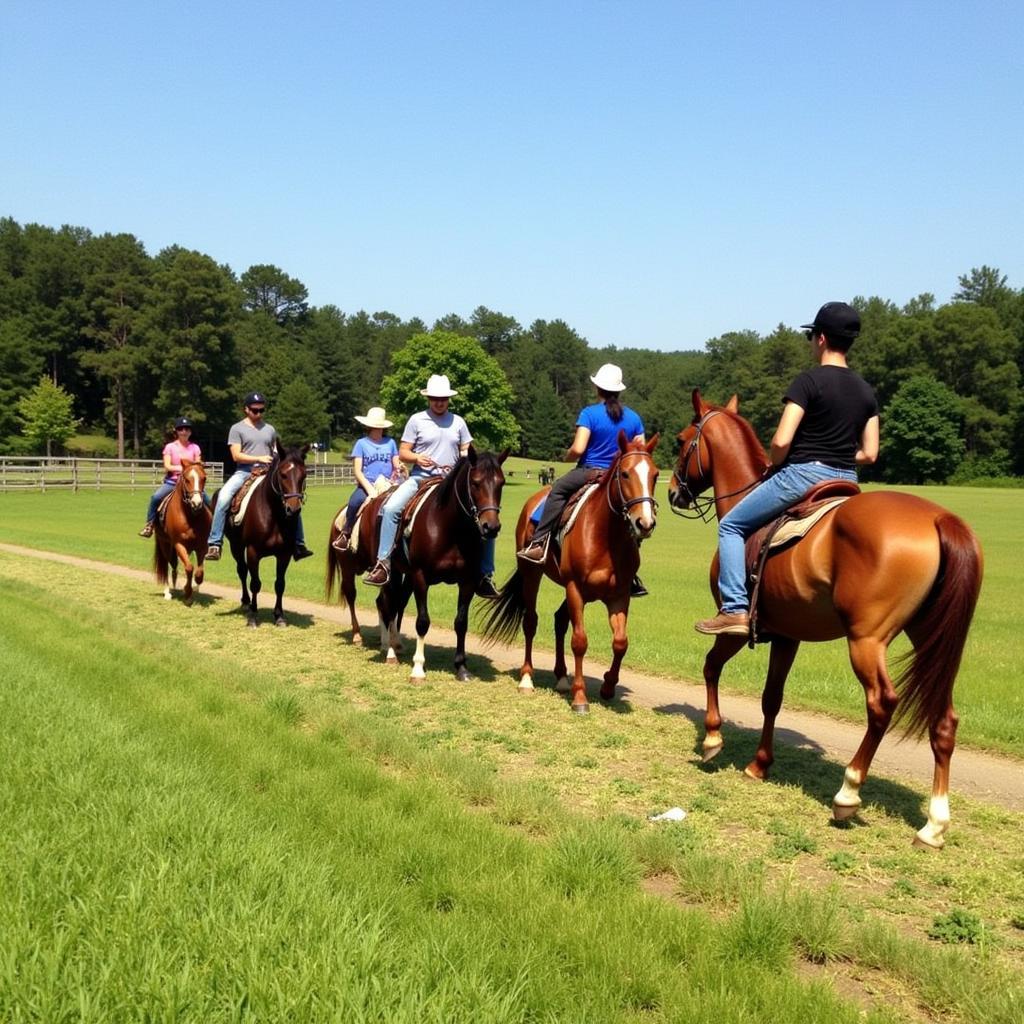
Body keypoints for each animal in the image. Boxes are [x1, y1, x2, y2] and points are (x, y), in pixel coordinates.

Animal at [152, 458, 210, 606]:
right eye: (187, 479)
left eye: (204, 478)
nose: (197, 503)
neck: (190, 516)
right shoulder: (179, 544)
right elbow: (189, 568)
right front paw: (187, 593)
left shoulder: (202, 546)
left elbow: (199, 572)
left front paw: (194, 588)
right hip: (165, 544)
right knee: (167, 565)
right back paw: (167, 592)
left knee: (174, 566)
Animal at [218, 438, 309, 626]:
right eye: (283, 474)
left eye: (304, 475)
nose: (293, 509)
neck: (273, 515)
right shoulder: (253, 552)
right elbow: (255, 583)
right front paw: (253, 616)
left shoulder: (284, 554)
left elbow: (280, 584)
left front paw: (279, 616)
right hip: (236, 546)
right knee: (242, 570)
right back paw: (246, 603)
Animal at [481, 436, 659, 716]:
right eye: (625, 473)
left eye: (655, 475)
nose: (645, 523)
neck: (607, 536)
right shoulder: (575, 588)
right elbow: (580, 641)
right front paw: (580, 697)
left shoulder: (619, 596)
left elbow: (621, 642)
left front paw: (608, 686)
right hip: (533, 574)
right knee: (530, 621)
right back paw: (527, 678)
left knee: (559, 620)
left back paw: (562, 677)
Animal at [663, 387, 983, 843]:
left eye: (680, 439)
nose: (673, 492)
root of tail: (940, 518)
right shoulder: (786, 635)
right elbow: (771, 698)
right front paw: (759, 764)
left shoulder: (737, 627)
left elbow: (710, 668)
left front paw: (711, 739)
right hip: (931, 641)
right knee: (945, 719)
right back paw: (934, 823)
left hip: (867, 640)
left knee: (881, 705)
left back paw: (848, 793)